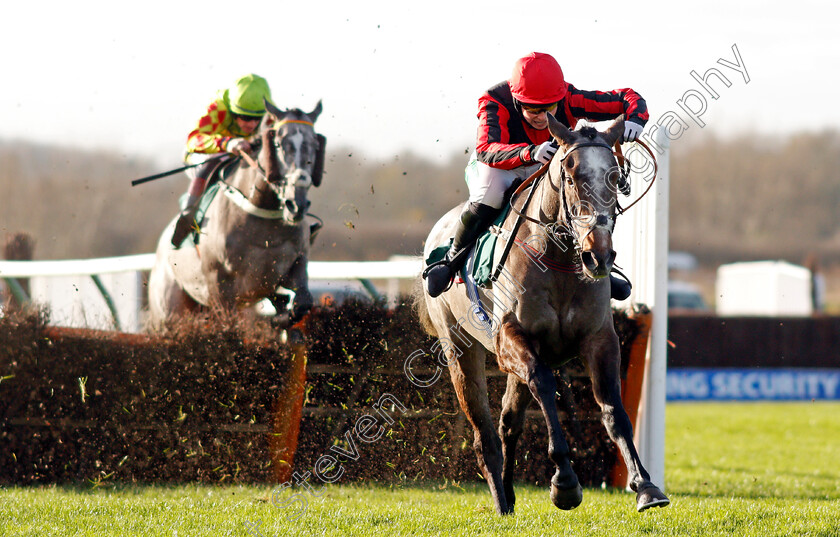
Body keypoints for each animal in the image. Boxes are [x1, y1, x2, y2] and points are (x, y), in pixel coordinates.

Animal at [148, 98, 324, 328]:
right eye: (278, 144)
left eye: (315, 146)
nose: (296, 204)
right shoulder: (220, 288)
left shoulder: (295, 265)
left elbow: (303, 302)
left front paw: (282, 319)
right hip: (169, 309)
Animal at [418, 114, 668, 516]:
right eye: (570, 174)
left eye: (616, 176)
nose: (599, 256)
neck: (559, 259)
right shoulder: (512, 339)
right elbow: (546, 386)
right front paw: (565, 482)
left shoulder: (600, 339)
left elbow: (612, 408)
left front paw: (645, 486)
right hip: (458, 346)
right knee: (484, 433)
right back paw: (501, 499)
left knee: (508, 422)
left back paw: (509, 493)